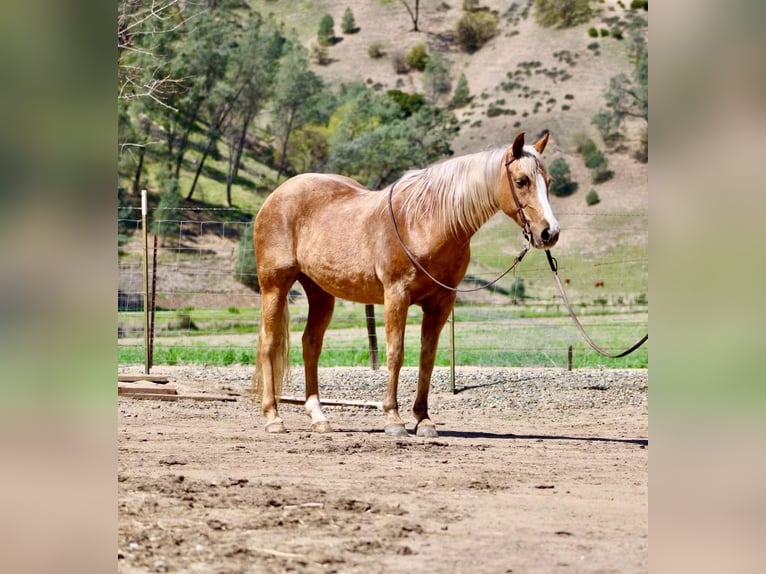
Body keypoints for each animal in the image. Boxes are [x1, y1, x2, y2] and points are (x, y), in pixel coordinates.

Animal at [253, 131, 559, 437]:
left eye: (548, 181)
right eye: (521, 181)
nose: (550, 233)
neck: (425, 223)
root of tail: (276, 196)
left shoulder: (440, 304)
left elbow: (427, 358)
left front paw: (423, 419)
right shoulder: (396, 296)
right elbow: (395, 354)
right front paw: (393, 418)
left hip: (320, 294)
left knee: (310, 345)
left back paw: (318, 417)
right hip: (274, 286)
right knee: (269, 344)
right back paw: (273, 417)